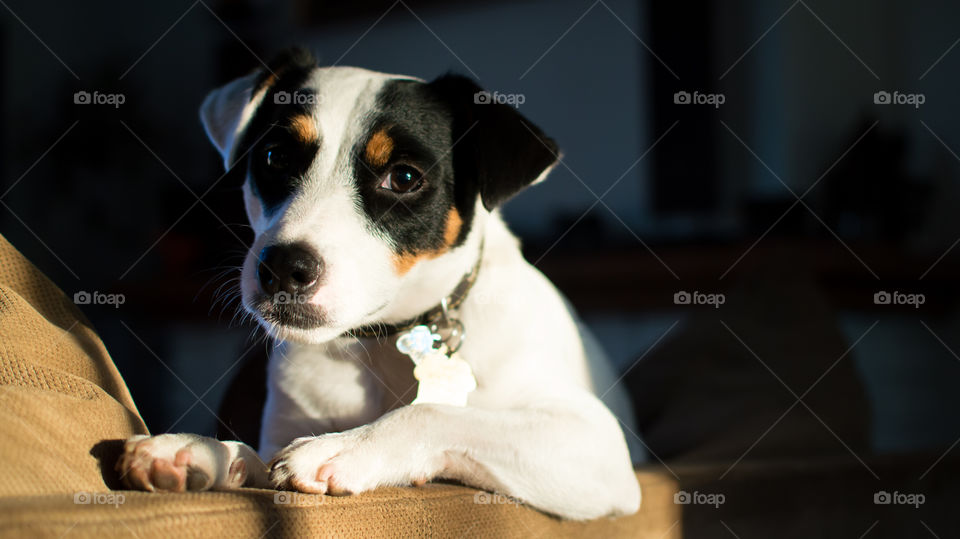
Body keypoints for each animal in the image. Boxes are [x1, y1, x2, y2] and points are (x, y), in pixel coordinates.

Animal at [120, 48, 644, 520]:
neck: (384, 340)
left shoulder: (594, 446)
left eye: (404, 177)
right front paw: (197, 450)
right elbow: (255, 458)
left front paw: (343, 447)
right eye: (275, 156)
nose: (283, 268)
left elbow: (435, 412)